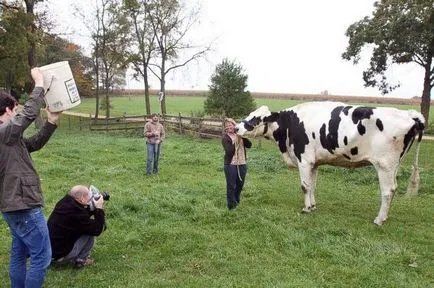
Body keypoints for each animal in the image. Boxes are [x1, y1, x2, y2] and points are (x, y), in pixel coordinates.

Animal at [236, 101, 426, 225]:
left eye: (256, 118)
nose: (237, 127)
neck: (289, 124)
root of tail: (410, 114)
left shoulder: (304, 159)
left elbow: (304, 186)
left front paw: (306, 209)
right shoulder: (314, 162)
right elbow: (312, 186)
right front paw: (312, 206)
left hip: (384, 165)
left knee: (388, 191)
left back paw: (379, 219)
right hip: (394, 166)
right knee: (394, 188)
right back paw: (385, 217)